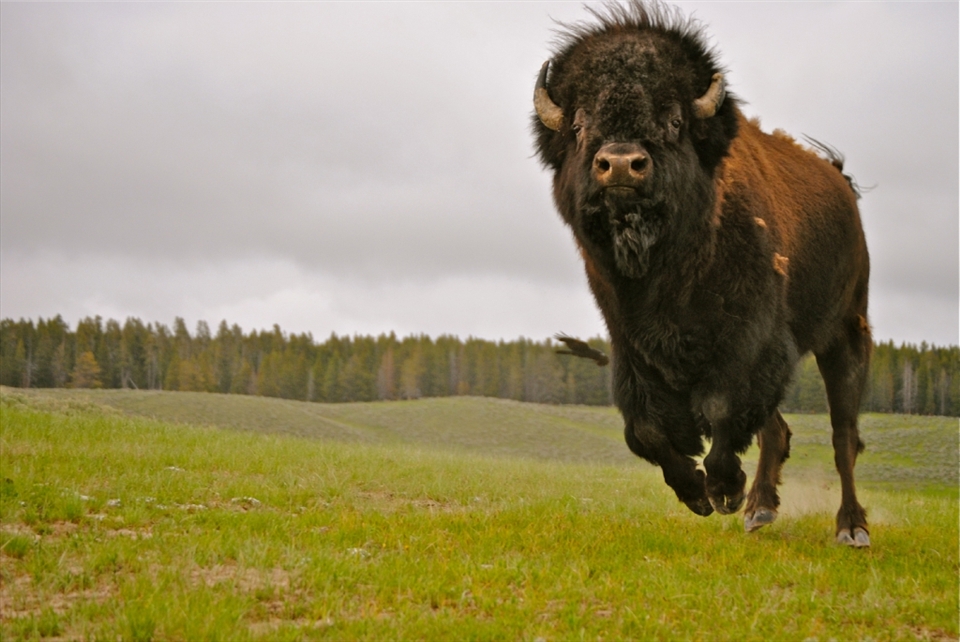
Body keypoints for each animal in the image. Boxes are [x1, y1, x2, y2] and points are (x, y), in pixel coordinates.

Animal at [534, 1, 871, 546]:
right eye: (580, 126)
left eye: (673, 120)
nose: (622, 165)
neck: (669, 271)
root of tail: (841, 184)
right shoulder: (634, 349)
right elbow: (646, 431)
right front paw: (698, 494)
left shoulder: (748, 343)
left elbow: (722, 412)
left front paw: (724, 490)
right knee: (778, 429)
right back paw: (760, 511)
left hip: (846, 332)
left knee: (844, 436)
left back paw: (851, 528)